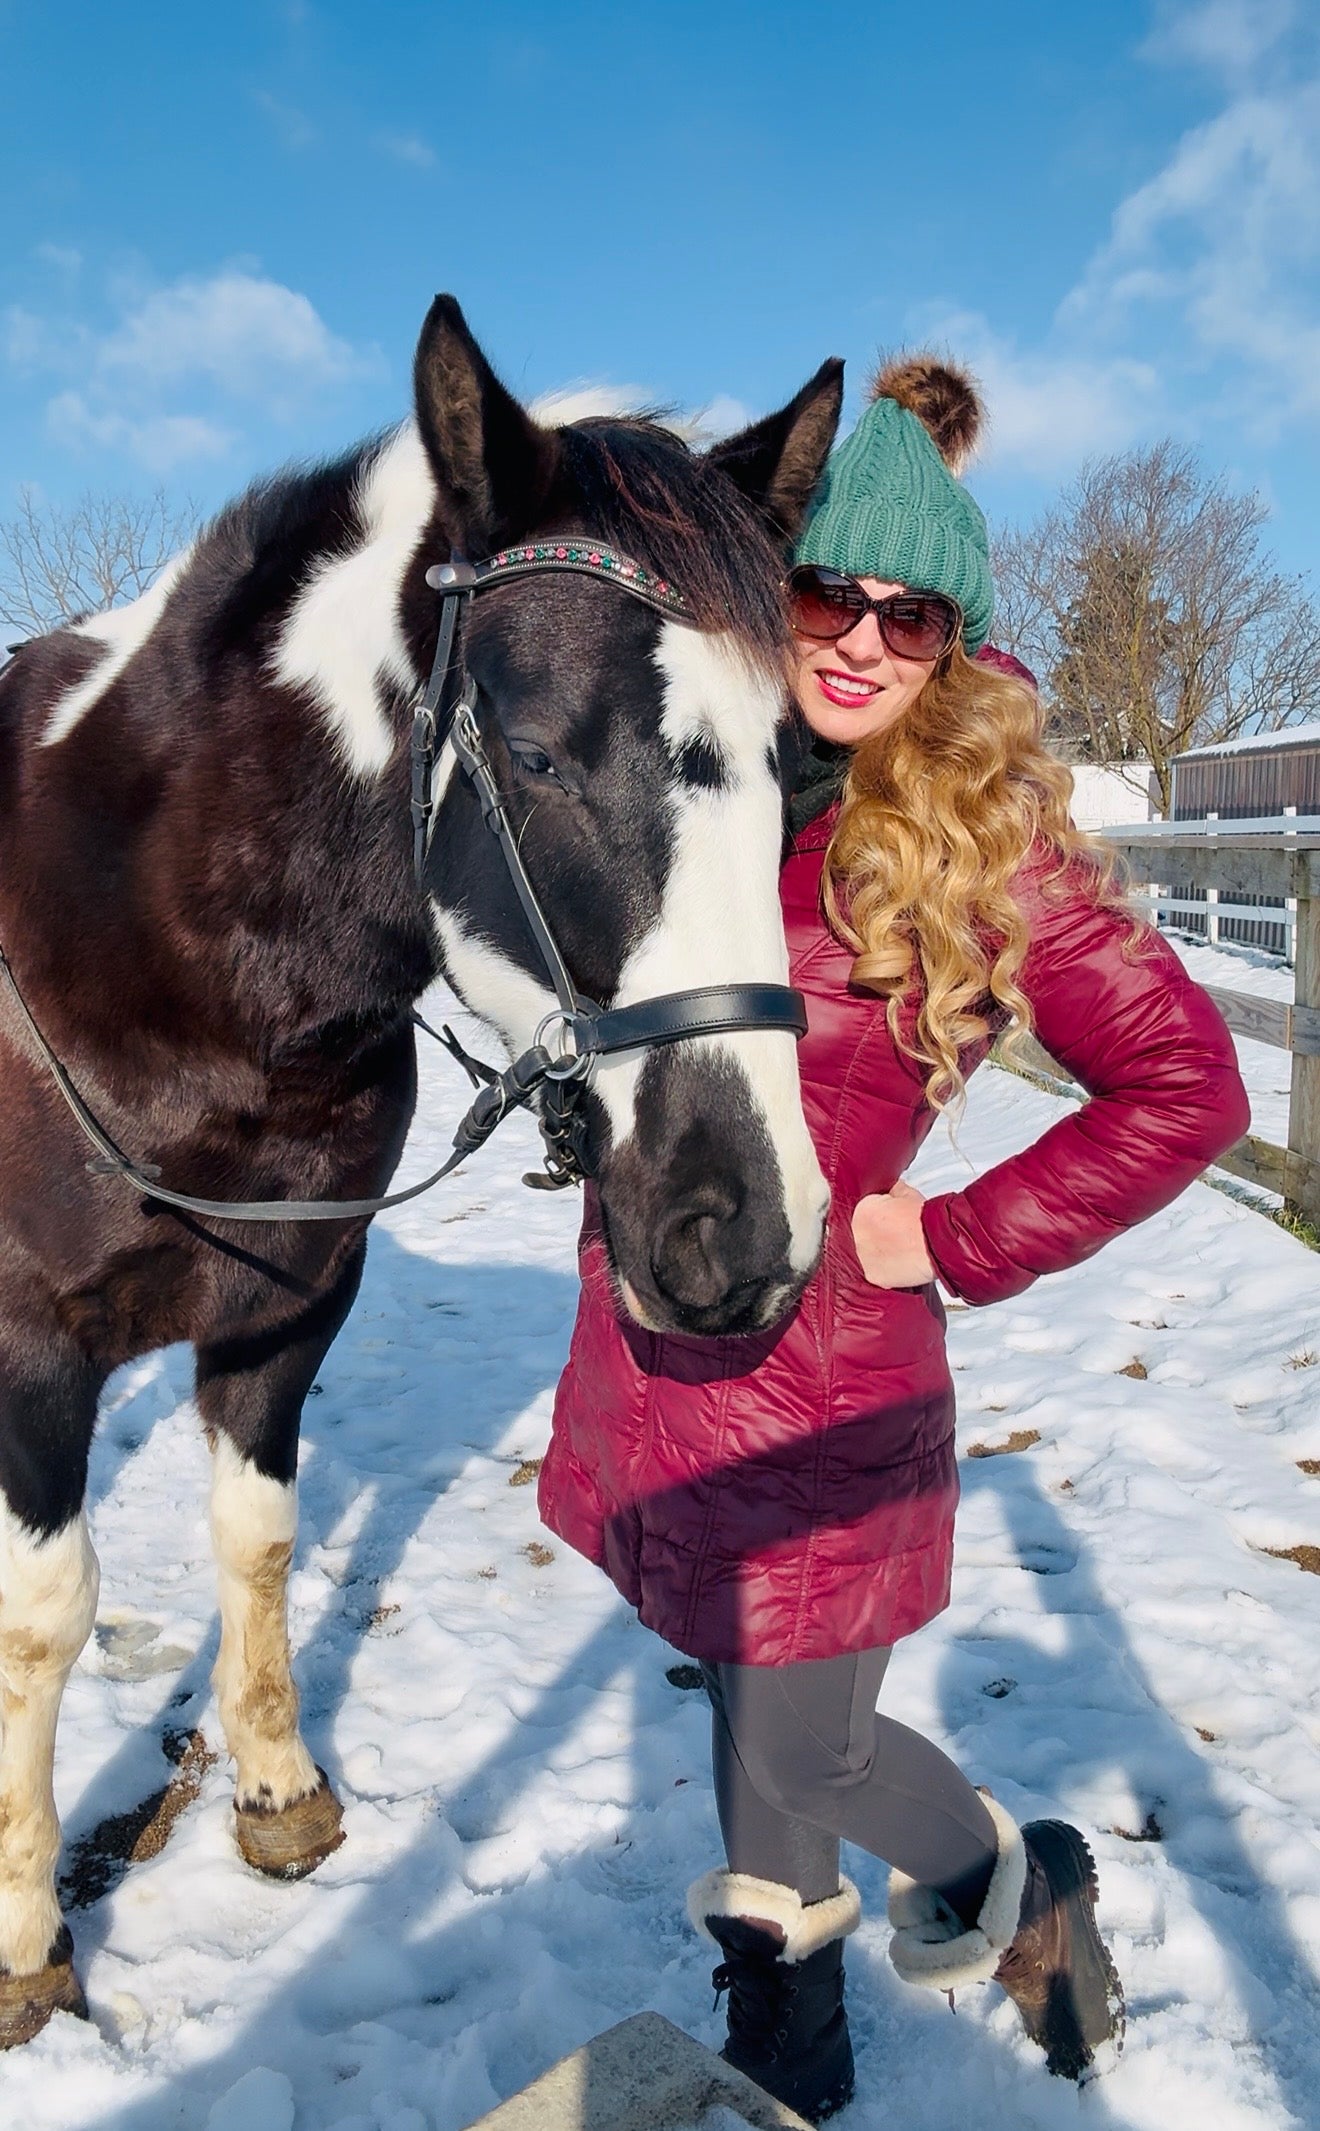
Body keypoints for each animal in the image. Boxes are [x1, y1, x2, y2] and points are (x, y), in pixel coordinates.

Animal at [0, 295, 843, 2044]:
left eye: (801, 767)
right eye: (535, 752)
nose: (746, 1228)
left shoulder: (285, 1307)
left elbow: (257, 1534)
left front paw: (274, 1788)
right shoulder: (28, 1346)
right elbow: (43, 1619)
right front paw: (24, 1928)